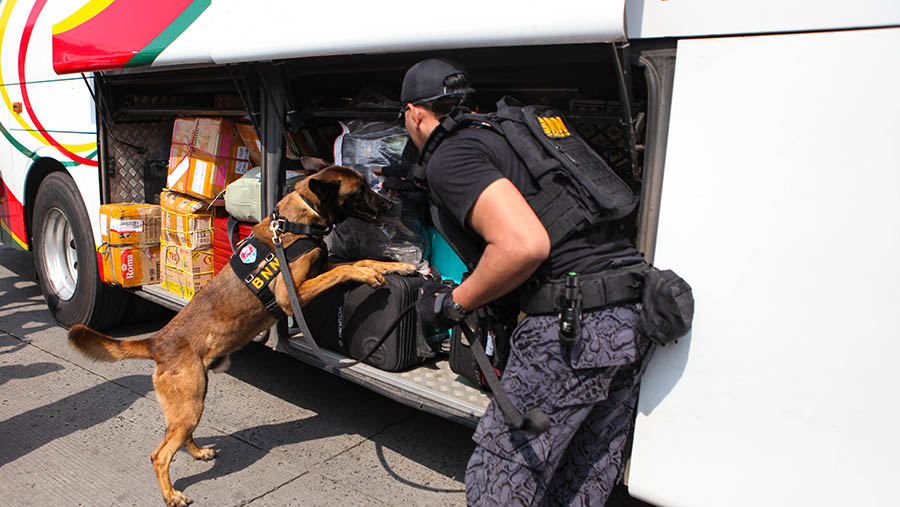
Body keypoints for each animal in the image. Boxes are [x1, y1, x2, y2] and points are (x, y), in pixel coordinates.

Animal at [68, 164, 416, 507]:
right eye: (360, 191)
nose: (391, 205)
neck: (297, 220)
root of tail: (158, 341)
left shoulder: (320, 268)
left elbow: (359, 260)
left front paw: (397, 268)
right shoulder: (291, 294)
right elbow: (345, 269)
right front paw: (369, 274)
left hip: (191, 402)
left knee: (179, 437)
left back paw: (198, 452)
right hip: (190, 402)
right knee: (160, 454)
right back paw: (171, 494)